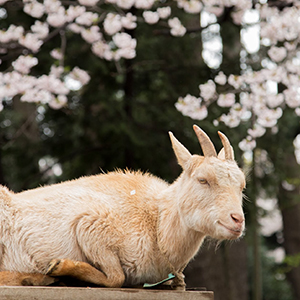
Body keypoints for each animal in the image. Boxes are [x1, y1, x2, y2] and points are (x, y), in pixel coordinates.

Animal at [0, 125, 245, 290]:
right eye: (203, 180)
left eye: (242, 185)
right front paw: (59, 266)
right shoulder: (91, 223)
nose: (237, 220)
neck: (156, 223)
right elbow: (116, 278)